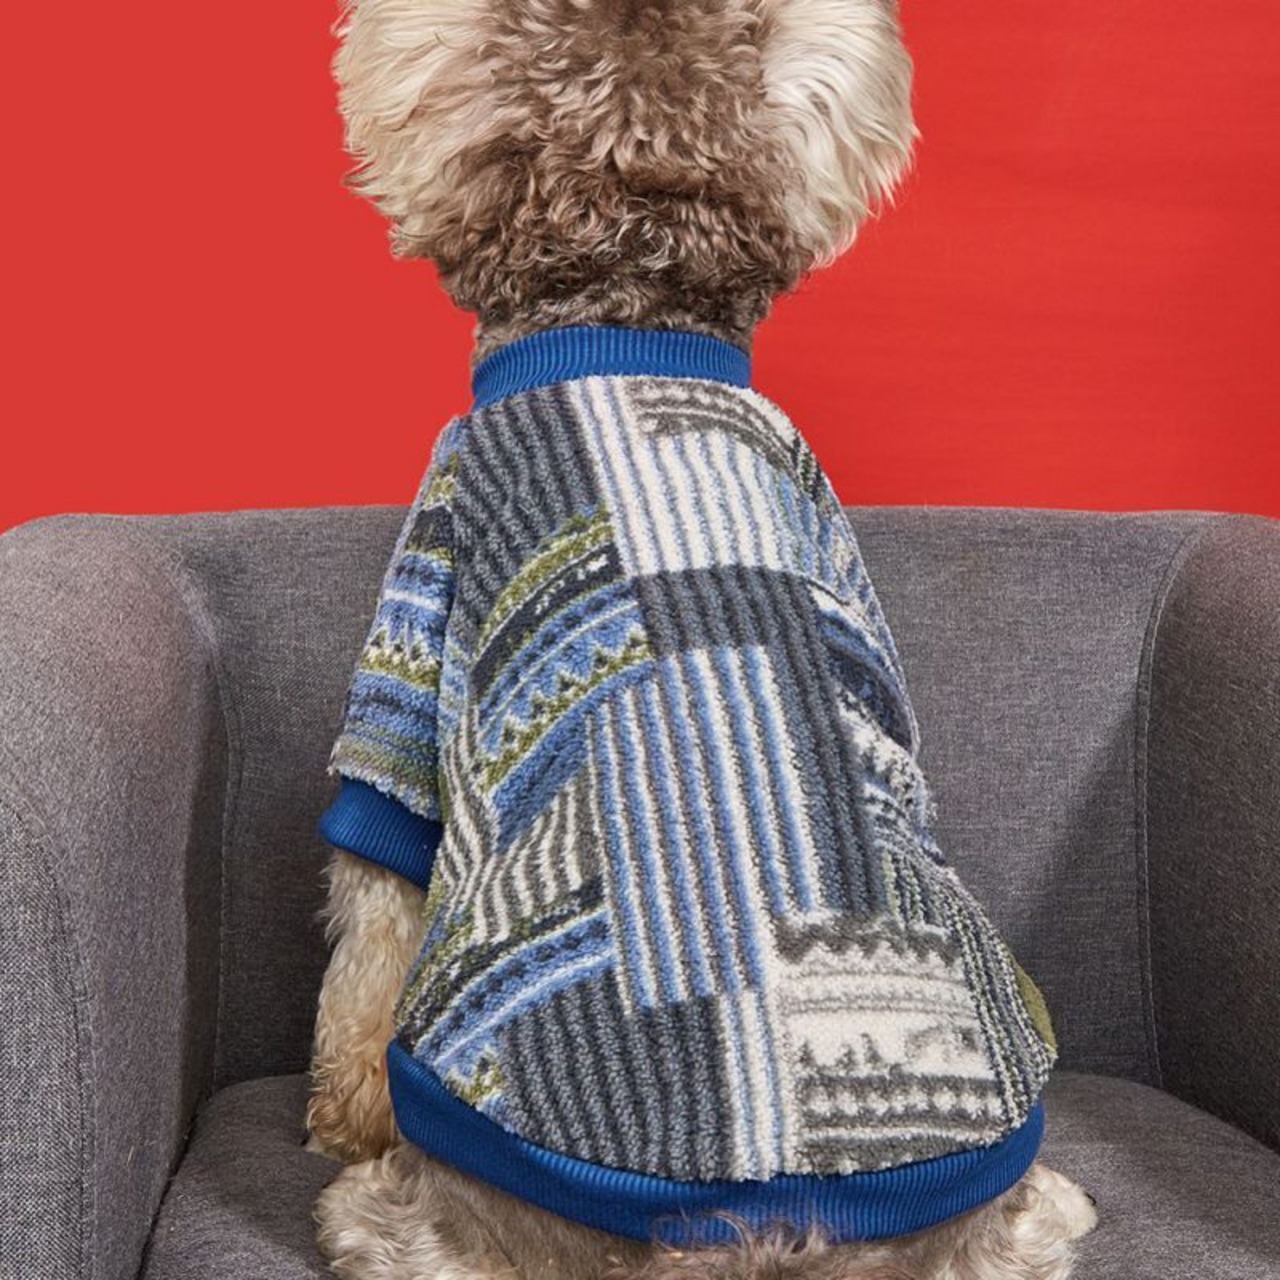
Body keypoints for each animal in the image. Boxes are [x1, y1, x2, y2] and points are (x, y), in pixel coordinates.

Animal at [305, 2, 1100, 1278]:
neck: (628, 320)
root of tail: (758, 1220)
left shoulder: (415, 633)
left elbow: (369, 905)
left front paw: (337, 1109)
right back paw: (1057, 1202)